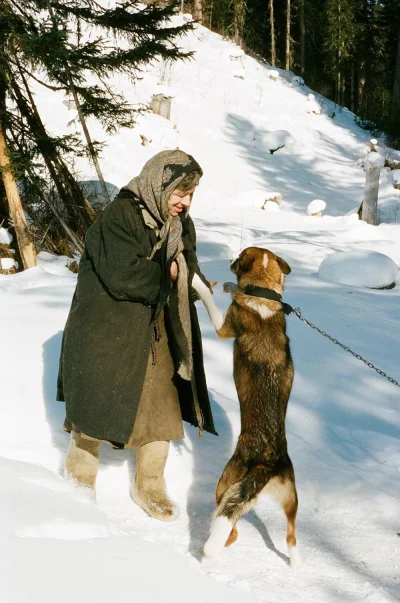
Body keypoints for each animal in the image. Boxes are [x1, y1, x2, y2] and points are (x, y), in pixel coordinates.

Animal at [202, 245, 298, 568]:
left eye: (241, 256)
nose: (230, 260)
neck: (263, 294)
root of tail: (267, 463)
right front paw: (228, 286)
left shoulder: (223, 328)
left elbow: (208, 299)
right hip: (292, 500)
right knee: (292, 537)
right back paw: (296, 563)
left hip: (225, 485)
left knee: (229, 527)